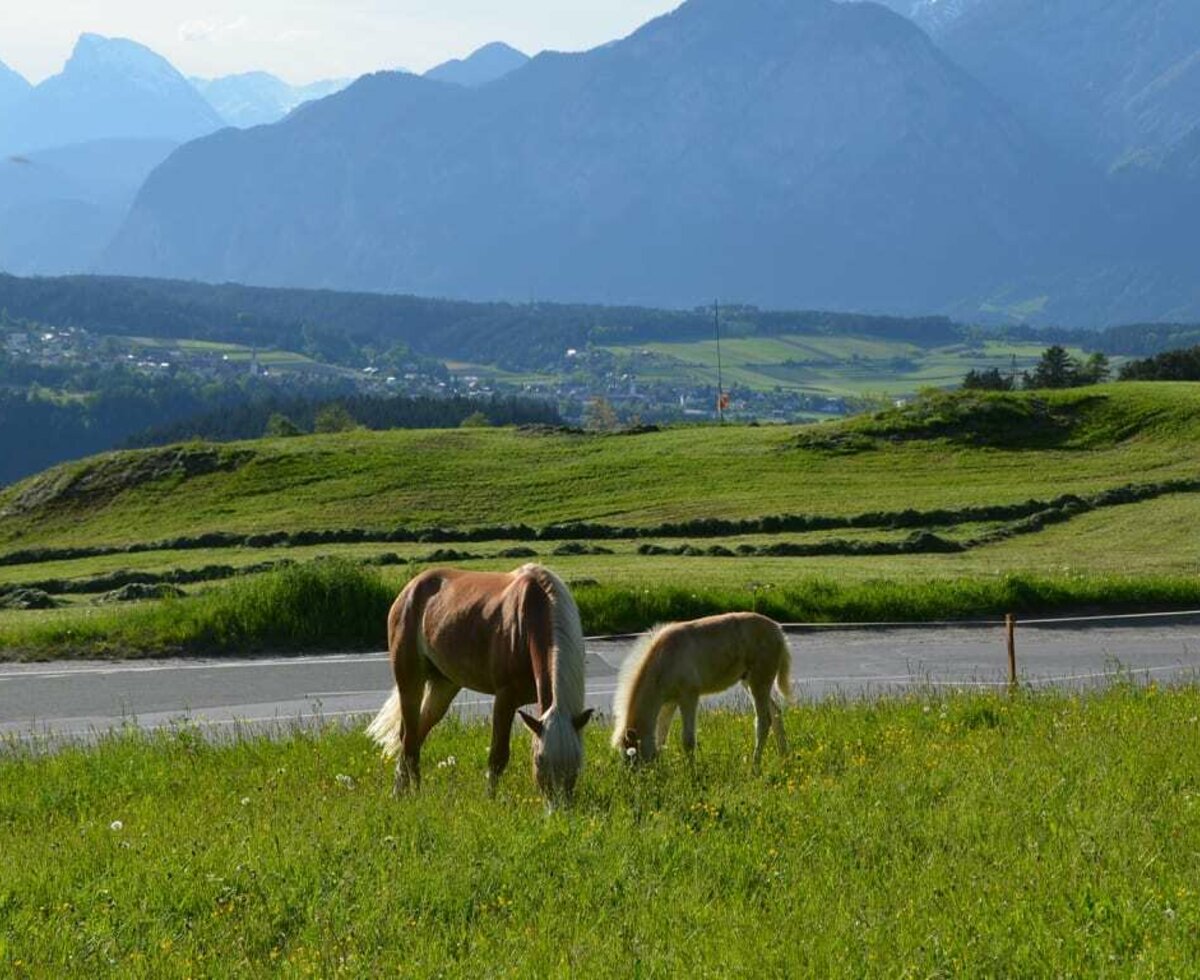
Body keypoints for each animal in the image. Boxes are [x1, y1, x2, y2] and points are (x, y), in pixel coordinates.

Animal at [362, 561, 592, 801]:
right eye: (539, 759)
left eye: (577, 760)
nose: (558, 806)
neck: (529, 618)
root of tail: (409, 590)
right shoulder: (505, 697)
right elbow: (498, 756)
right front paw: (490, 799)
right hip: (410, 681)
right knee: (408, 740)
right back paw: (411, 794)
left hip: (443, 686)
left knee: (415, 734)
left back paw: (404, 791)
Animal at [614, 611, 792, 762]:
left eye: (632, 755)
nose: (639, 776)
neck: (665, 660)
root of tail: (779, 631)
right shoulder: (669, 702)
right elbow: (661, 738)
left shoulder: (689, 696)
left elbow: (688, 741)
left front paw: (693, 775)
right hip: (749, 681)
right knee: (776, 712)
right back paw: (784, 757)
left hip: (759, 681)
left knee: (763, 721)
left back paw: (755, 767)